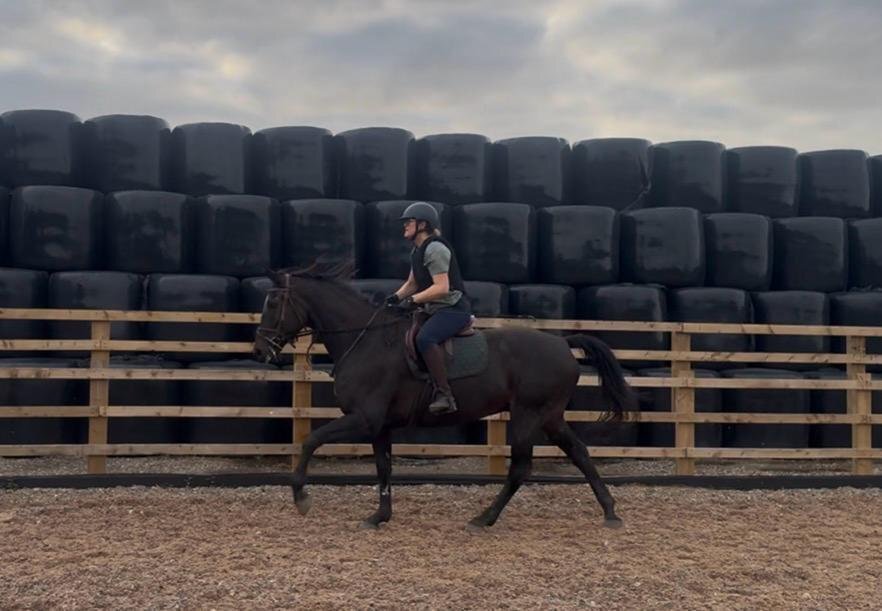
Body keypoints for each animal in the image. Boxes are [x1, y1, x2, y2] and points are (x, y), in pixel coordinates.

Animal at [252, 261, 637, 530]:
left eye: (273, 302)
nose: (259, 350)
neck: (365, 340)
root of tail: (562, 343)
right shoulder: (380, 426)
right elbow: (383, 467)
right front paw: (379, 516)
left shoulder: (363, 419)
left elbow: (311, 440)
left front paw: (301, 496)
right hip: (550, 417)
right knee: (580, 453)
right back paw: (610, 511)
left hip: (528, 415)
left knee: (521, 468)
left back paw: (484, 519)